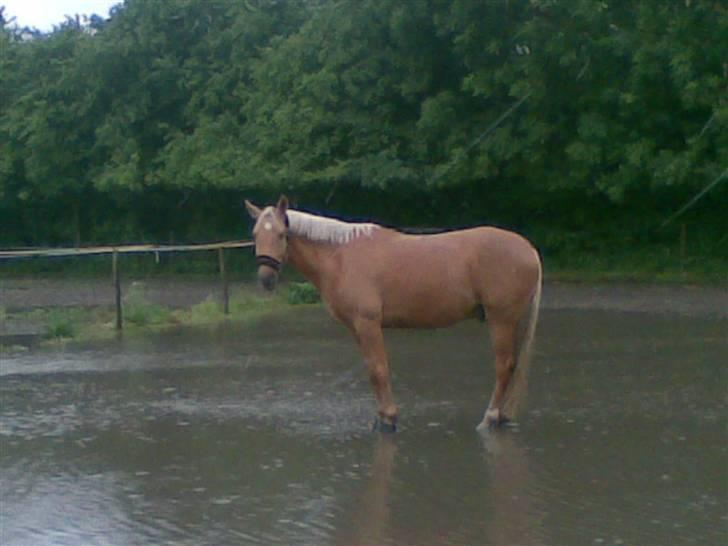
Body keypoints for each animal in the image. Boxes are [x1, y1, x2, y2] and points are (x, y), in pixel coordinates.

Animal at [245, 196, 540, 430]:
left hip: (501, 319)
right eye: (255, 234)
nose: (266, 279)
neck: (340, 255)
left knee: (503, 365)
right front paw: (381, 417)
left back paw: (489, 418)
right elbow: (371, 369)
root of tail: (529, 249)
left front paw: (388, 418)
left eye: (281, 234)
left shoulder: (368, 323)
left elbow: (379, 369)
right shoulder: (356, 328)